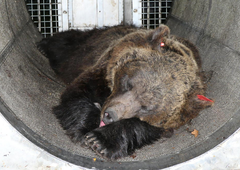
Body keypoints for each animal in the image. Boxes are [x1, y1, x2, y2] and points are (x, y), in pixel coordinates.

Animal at [37, 24, 214, 160]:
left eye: (145, 107)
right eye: (128, 84)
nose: (109, 115)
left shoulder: (174, 117)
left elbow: (140, 127)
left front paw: (99, 140)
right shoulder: (101, 70)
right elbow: (79, 93)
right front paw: (84, 129)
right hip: (84, 48)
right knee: (67, 45)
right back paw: (44, 45)